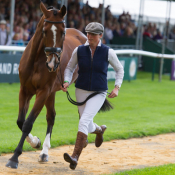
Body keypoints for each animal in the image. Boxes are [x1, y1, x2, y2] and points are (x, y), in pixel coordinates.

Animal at [6, 1, 87, 168]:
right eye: (44, 31)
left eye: (63, 32)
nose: (52, 63)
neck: (37, 60)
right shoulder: (25, 90)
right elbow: (20, 121)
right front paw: (35, 142)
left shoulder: (43, 91)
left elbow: (28, 122)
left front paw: (14, 157)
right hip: (52, 92)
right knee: (51, 116)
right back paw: (44, 152)